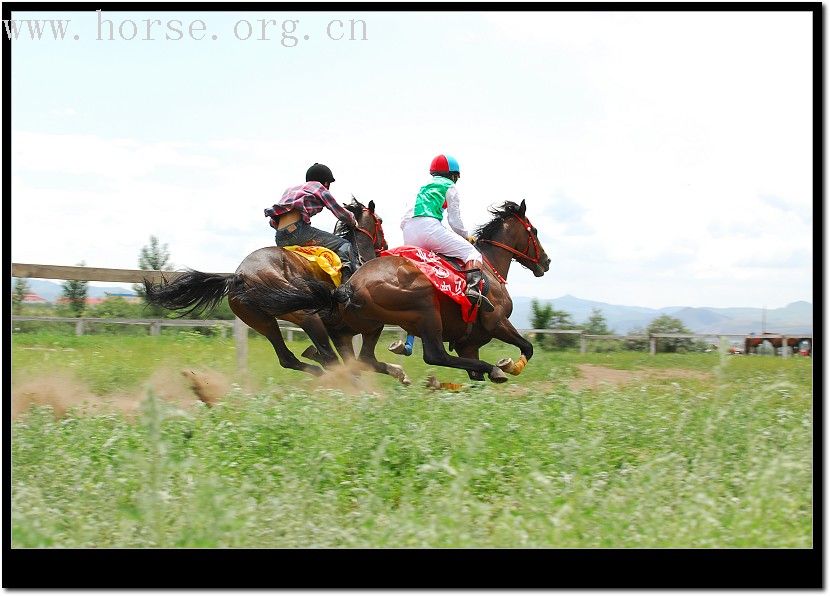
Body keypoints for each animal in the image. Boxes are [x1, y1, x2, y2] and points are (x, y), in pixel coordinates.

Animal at [147, 198, 412, 380]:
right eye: (380, 221)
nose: (384, 244)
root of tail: (239, 276)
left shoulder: (341, 332)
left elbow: (356, 361)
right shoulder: (363, 326)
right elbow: (365, 359)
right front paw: (399, 373)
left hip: (263, 321)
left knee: (289, 358)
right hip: (306, 316)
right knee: (328, 359)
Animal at [240, 200, 552, 382]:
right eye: (534, 230)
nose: (546, 262)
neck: (486, 265)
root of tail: (242, 275)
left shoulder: (469, 342)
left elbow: (475, 375)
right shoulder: (496, 322)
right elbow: (527, 347)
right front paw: (508, 366)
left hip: (275, 321)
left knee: (320, 358)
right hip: (422, 307)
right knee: (433, 355)